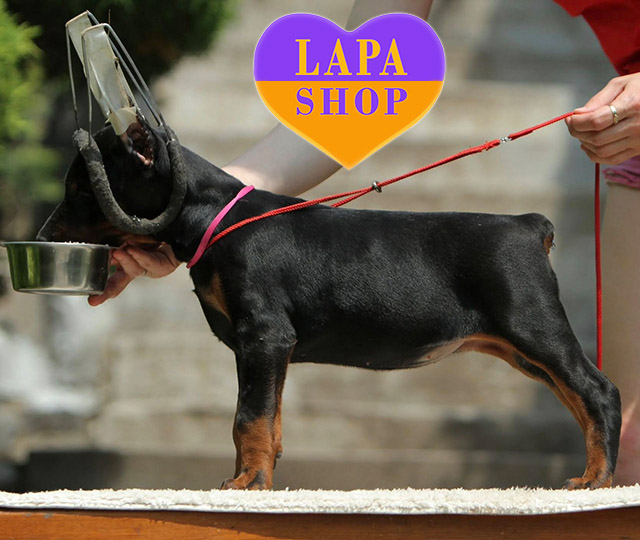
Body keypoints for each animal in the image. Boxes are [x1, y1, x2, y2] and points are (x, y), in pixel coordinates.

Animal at [37, 119, 621, 490]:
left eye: (82, 190)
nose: (43, 234)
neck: (214, 218)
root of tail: (528, 224)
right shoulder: (267, 349)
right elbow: (267, 419)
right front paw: (257, 477)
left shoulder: (264, 335)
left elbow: (248, 417)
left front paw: (247, 482)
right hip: (522, 347)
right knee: (578, 397)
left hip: (533, 324)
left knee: (598, 391)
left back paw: (597, 479)